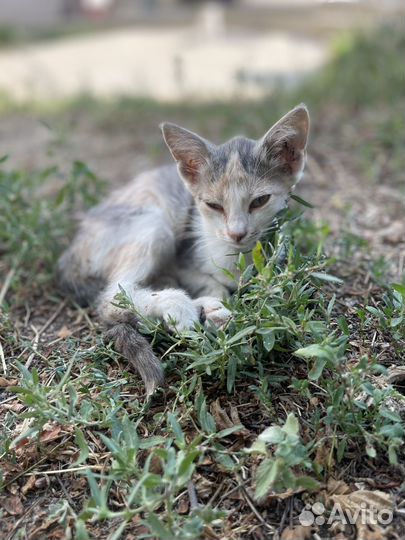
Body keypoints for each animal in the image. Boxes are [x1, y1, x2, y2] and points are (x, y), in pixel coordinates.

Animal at [56, 103, 310, 394]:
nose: (236, 233)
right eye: (213, 205)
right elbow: (209, 281)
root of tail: (69, 255)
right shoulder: (183, 258)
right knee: (112, 298)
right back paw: (179, 305)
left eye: (260, 201)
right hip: (154, 222)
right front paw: (214, 302)